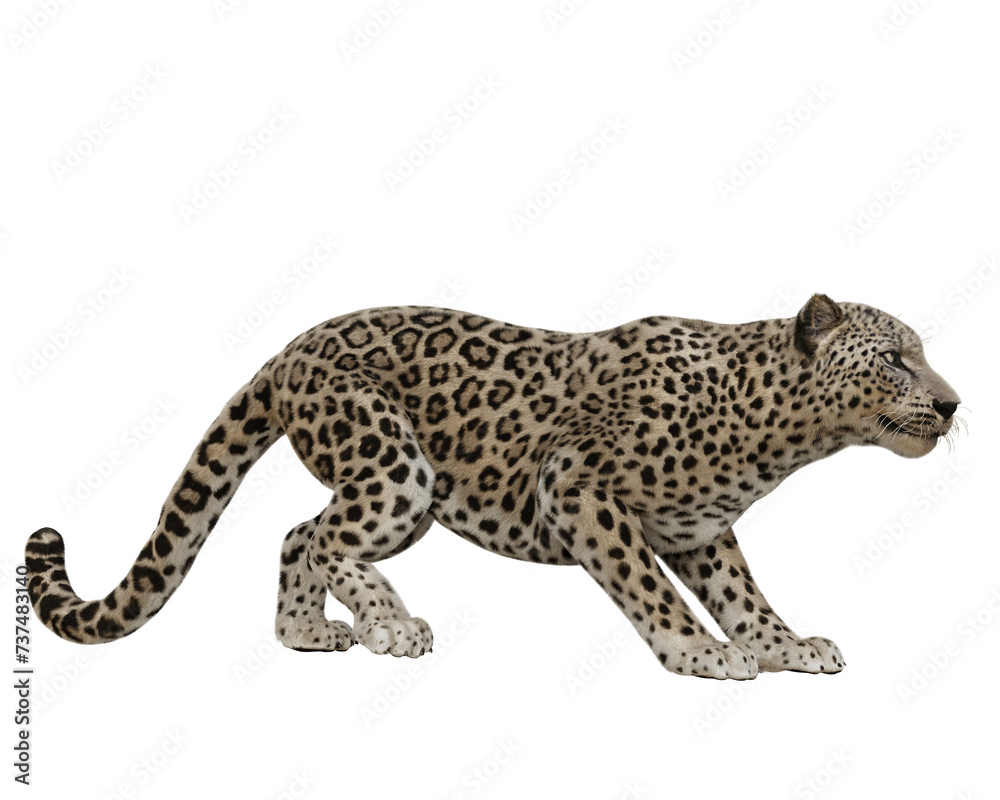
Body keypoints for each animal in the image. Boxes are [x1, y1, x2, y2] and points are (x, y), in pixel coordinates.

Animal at [24, 293, 961, 680]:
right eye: (895, 358)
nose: (954, 402)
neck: (777, 434)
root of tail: (291, 348)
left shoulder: (698, 528)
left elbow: (745, 595)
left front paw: (785, 646)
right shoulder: (577, 484)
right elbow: (649, 587)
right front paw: (700, 651)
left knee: (299, 534)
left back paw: (309, 634)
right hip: (396, 465)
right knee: (326, 537)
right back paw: (392, 624)